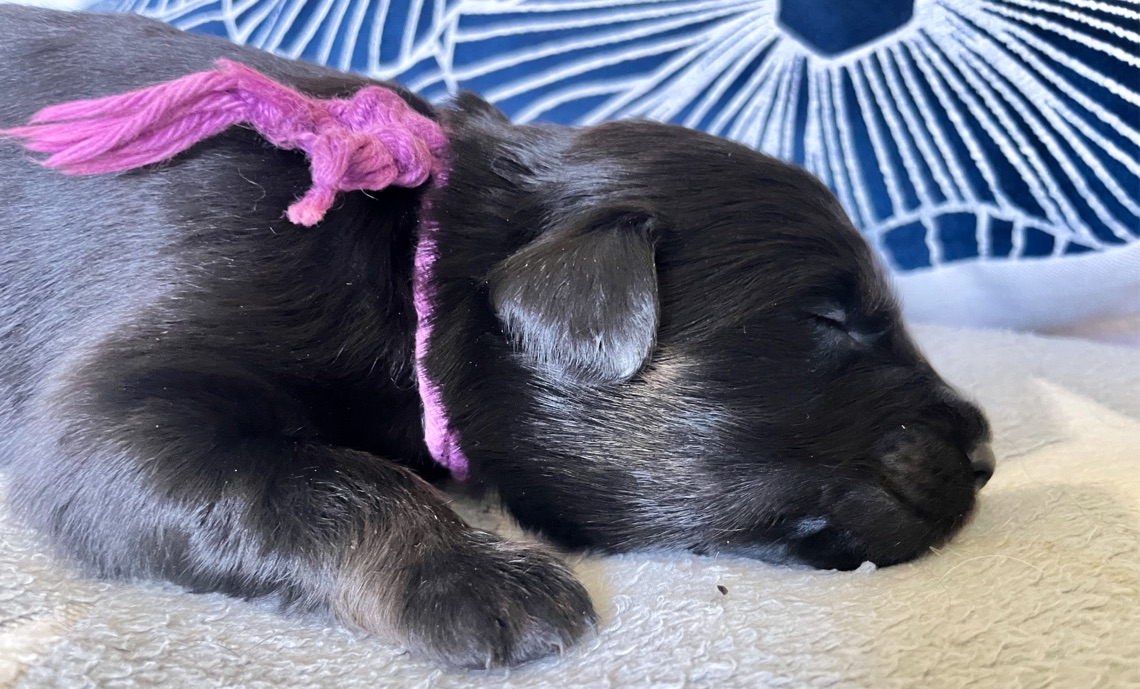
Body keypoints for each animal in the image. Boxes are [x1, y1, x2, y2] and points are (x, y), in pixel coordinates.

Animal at [0, 6, 994, 669]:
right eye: (824, 318)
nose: (988, 454)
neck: (414, 256)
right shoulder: (130, 397)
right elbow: (313, 474)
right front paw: (478, 577)